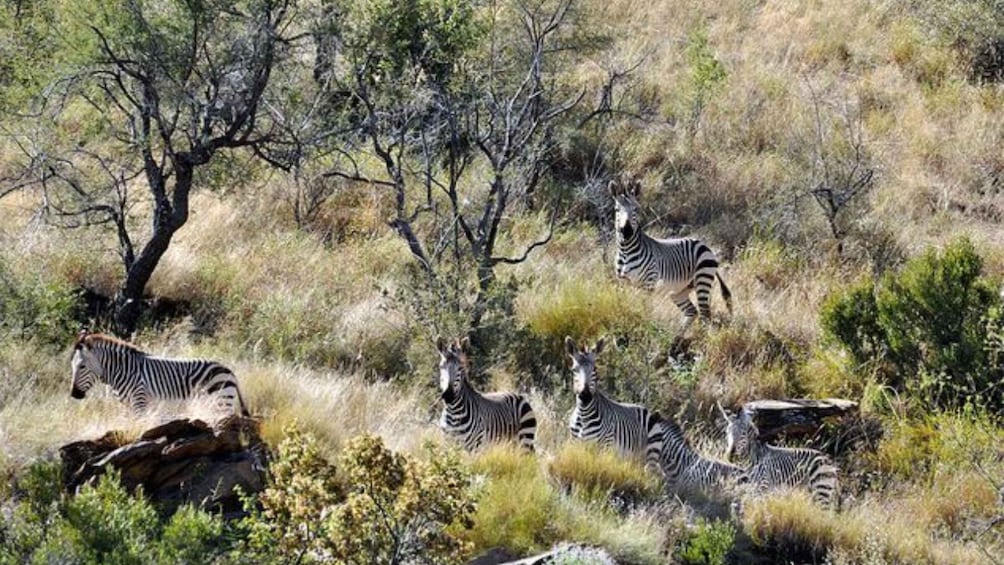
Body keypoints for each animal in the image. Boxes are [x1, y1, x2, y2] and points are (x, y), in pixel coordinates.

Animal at [70, 331, 249, 416]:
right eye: (72, 366)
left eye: (82, 366)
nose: (74, 394)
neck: (123, 371)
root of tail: (230, 371)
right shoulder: (126, 406)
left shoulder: (140, 401)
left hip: (221, 402)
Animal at [564, 336, 663, 466]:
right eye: (574, 370)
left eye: (595, 369)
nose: (585, 396)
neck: (584, 414)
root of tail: (646, 409)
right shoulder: (575, 444)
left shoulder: (604, 447)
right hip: (634, 458)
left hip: (650, 455)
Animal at [610, 177, 732, 335]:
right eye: (617, 209)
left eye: (636, 209)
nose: (626, 232)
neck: (626, 251)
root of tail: (704, 245)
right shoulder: (623, 283)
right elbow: (626, 306)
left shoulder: (647, 283)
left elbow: (643, 308)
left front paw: (641, 328)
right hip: (679, 290)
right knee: (692, 311)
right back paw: (677, 337)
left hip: (702, 280)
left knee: (705, 314)